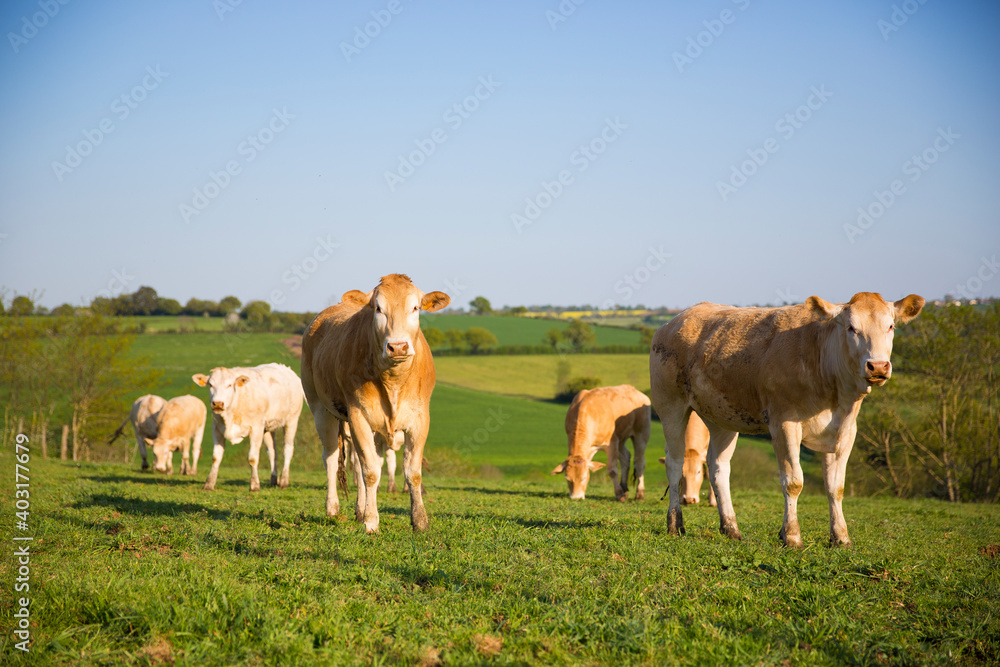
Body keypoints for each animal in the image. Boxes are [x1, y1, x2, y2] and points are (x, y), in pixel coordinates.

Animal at [192, 362, 304, 494]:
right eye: (210, 384)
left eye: (229, 385)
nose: (218, 403)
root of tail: (287, 369)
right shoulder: (217, 428)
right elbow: (216, 458)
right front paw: (209, 484)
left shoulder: (256, 428)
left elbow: (253, 458)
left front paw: (255, 486)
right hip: (268, 427)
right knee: (272, 452)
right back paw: (273, 480)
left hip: (291, 420)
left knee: (287, 449)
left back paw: (284, 481)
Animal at [298, 274, 452, 536]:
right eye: (378, 308)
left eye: (415, 308)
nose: (398, 346)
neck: (394, 381)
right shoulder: (359, 416)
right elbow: (370, 472)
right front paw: (371, 521)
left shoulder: (420, 420)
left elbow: (412, 472)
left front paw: (419, 521)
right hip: (321, 410)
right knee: (331, 457)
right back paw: (333, 508)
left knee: (357, 465)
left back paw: (359, 509)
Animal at [648, 292, 920, 548]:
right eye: (851, 327)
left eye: (891, 326)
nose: (878, 366)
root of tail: (676, 319)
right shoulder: (784, 424)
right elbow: (793, 482)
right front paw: (791, 535)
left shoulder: (846, 430)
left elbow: (836, 486)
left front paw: (841, 537)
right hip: (670, 405)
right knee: (674, 462)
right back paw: (675, 523)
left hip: (722, 416)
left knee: (718, 467)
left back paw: (731, 528)